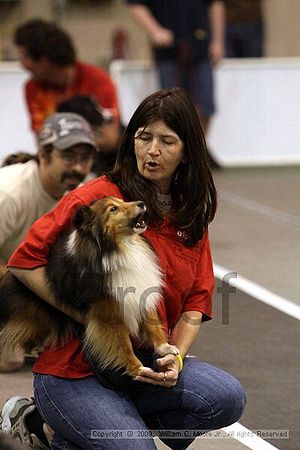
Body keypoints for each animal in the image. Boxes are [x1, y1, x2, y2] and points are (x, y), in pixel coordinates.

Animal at [0, 197, 178, 376]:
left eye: (122, 201)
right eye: (113, 209)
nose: (142, 203)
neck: (120, 248)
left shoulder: (139, 295)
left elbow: (152, 326)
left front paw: (165, 347)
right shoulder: (110, 312)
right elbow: (124, 345)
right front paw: (138, 369)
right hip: (36, 312)